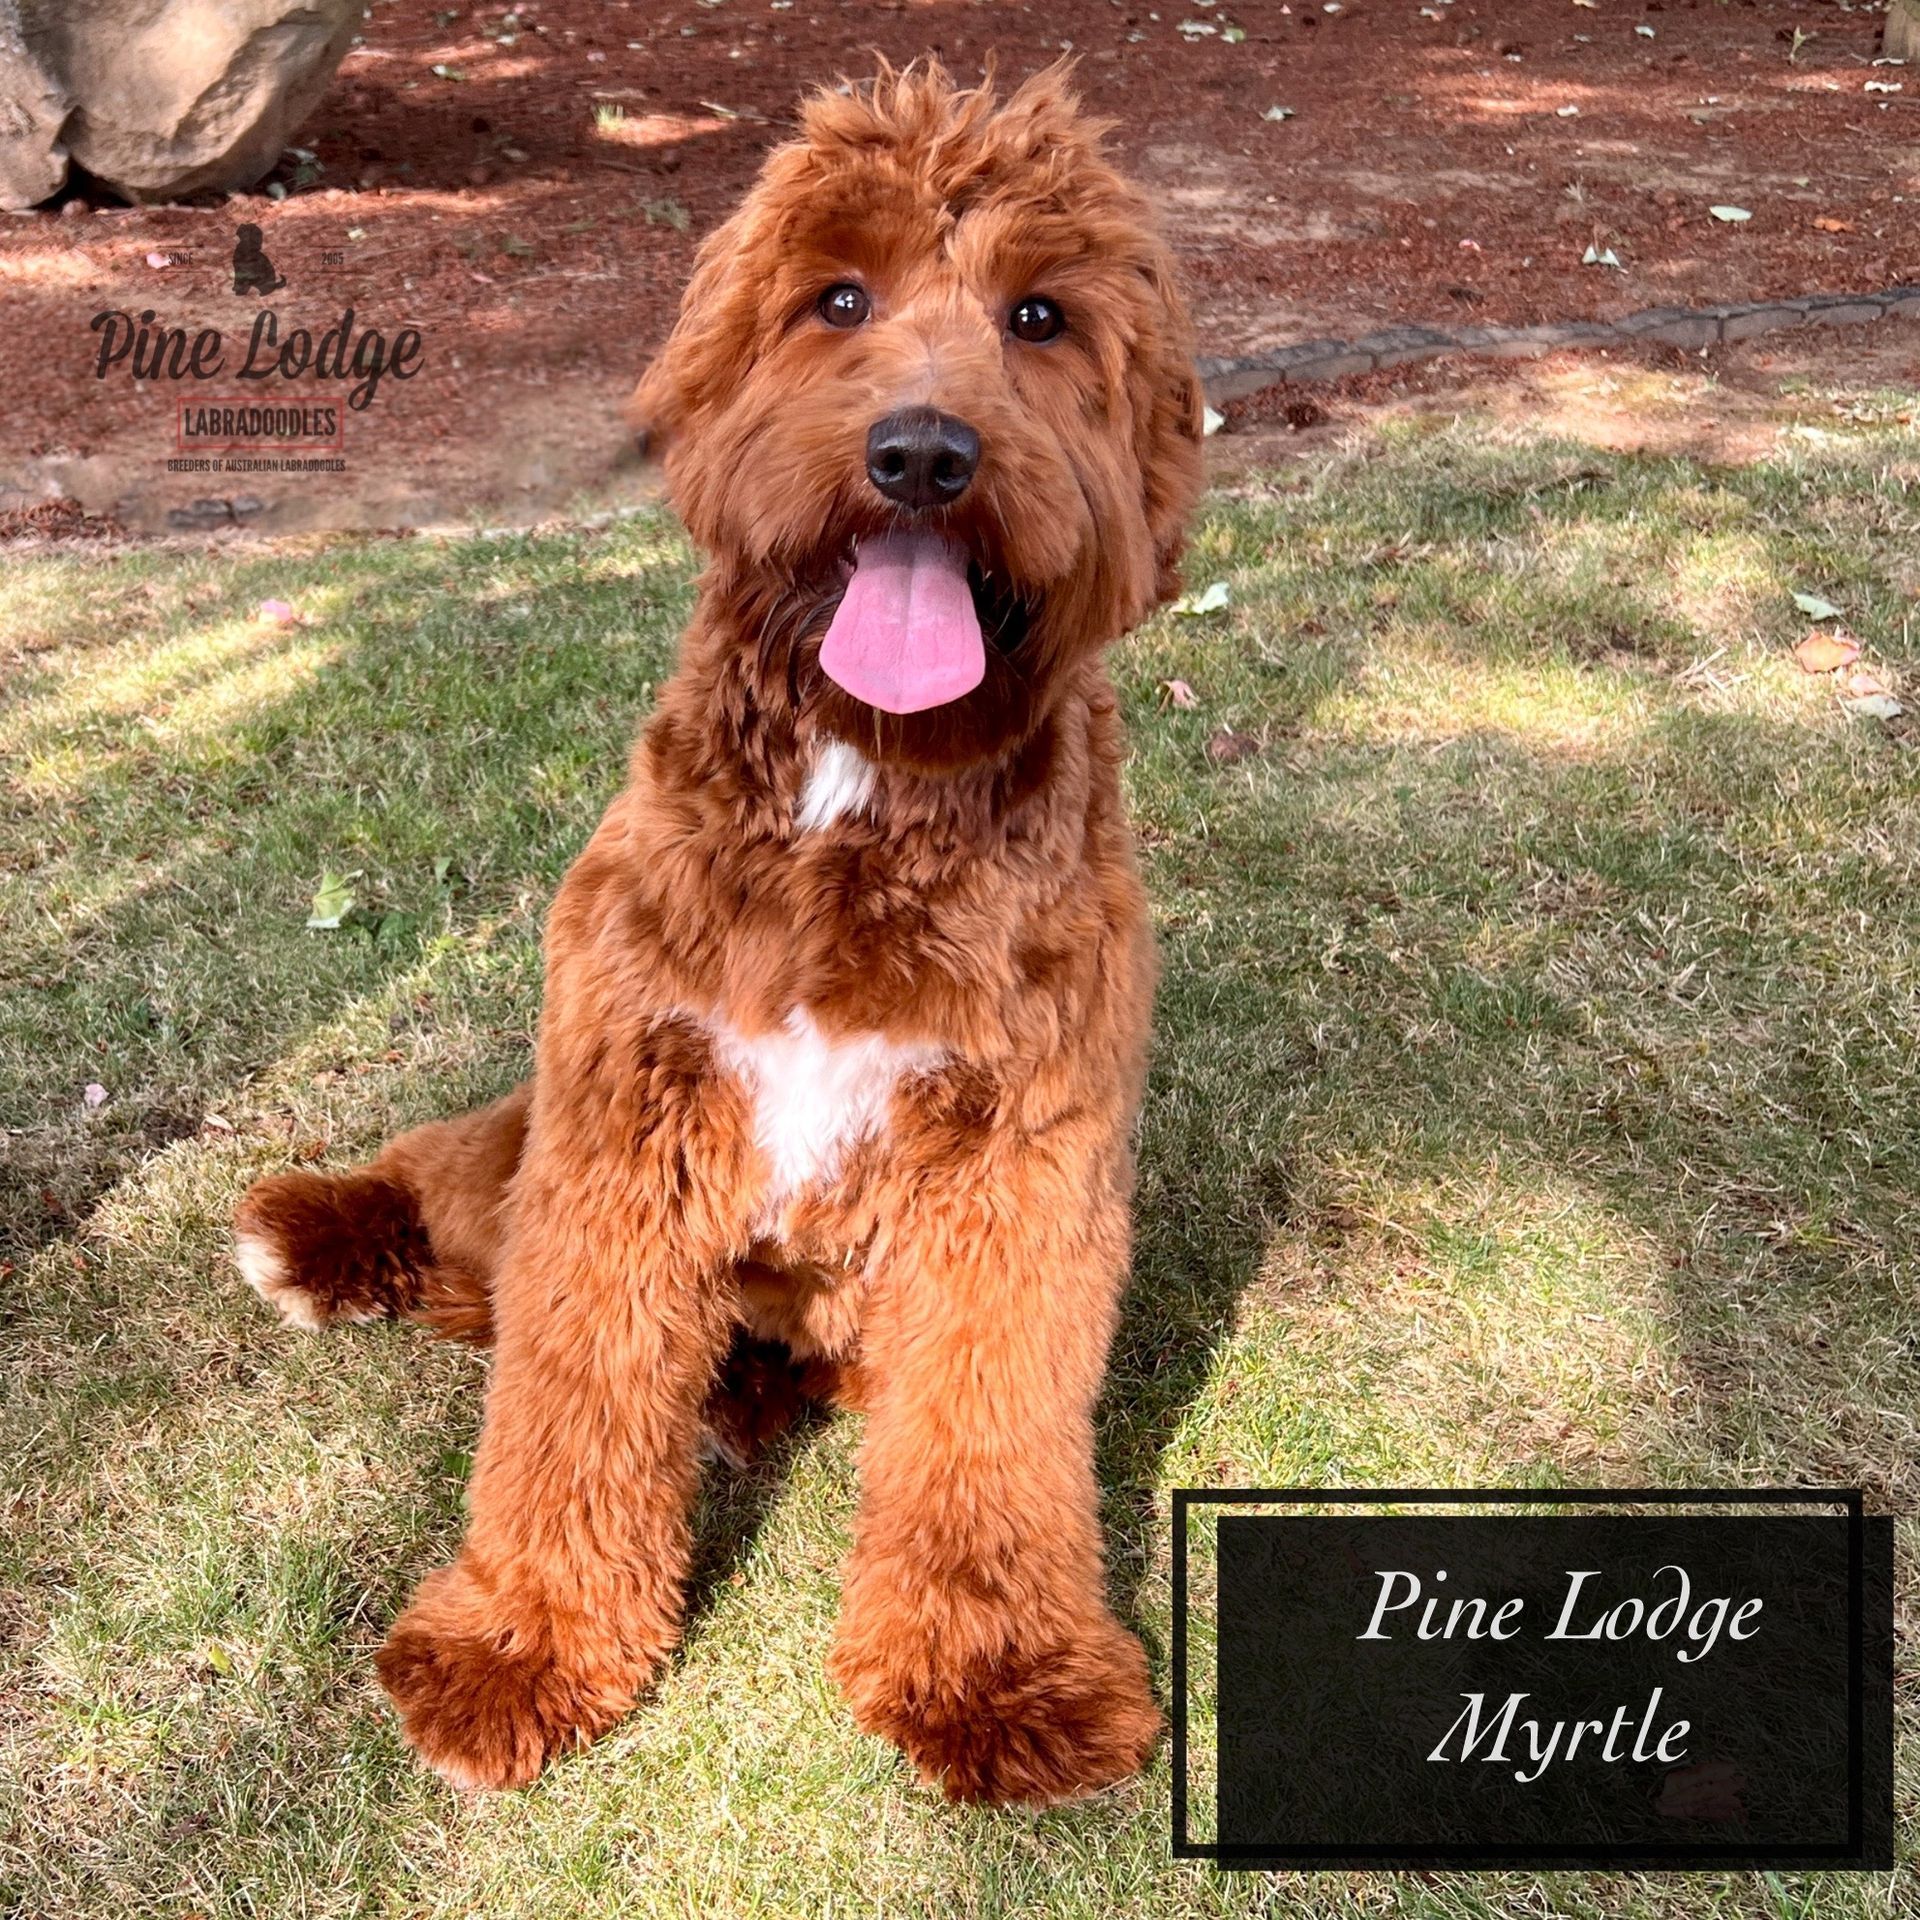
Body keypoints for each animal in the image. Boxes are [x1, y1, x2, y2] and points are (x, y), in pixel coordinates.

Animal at [236, 56, 1198, 1797]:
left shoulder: (1023, 1172)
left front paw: (996, 1675)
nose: (924, 454)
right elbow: (568, 1405)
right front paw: (523, 1646)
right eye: (839, 296)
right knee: (458, 1203)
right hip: (531, 1133)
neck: (859, 789)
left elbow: (997, 1433)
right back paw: (323, 1232)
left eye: (1040, 316)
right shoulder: (619, 1116)